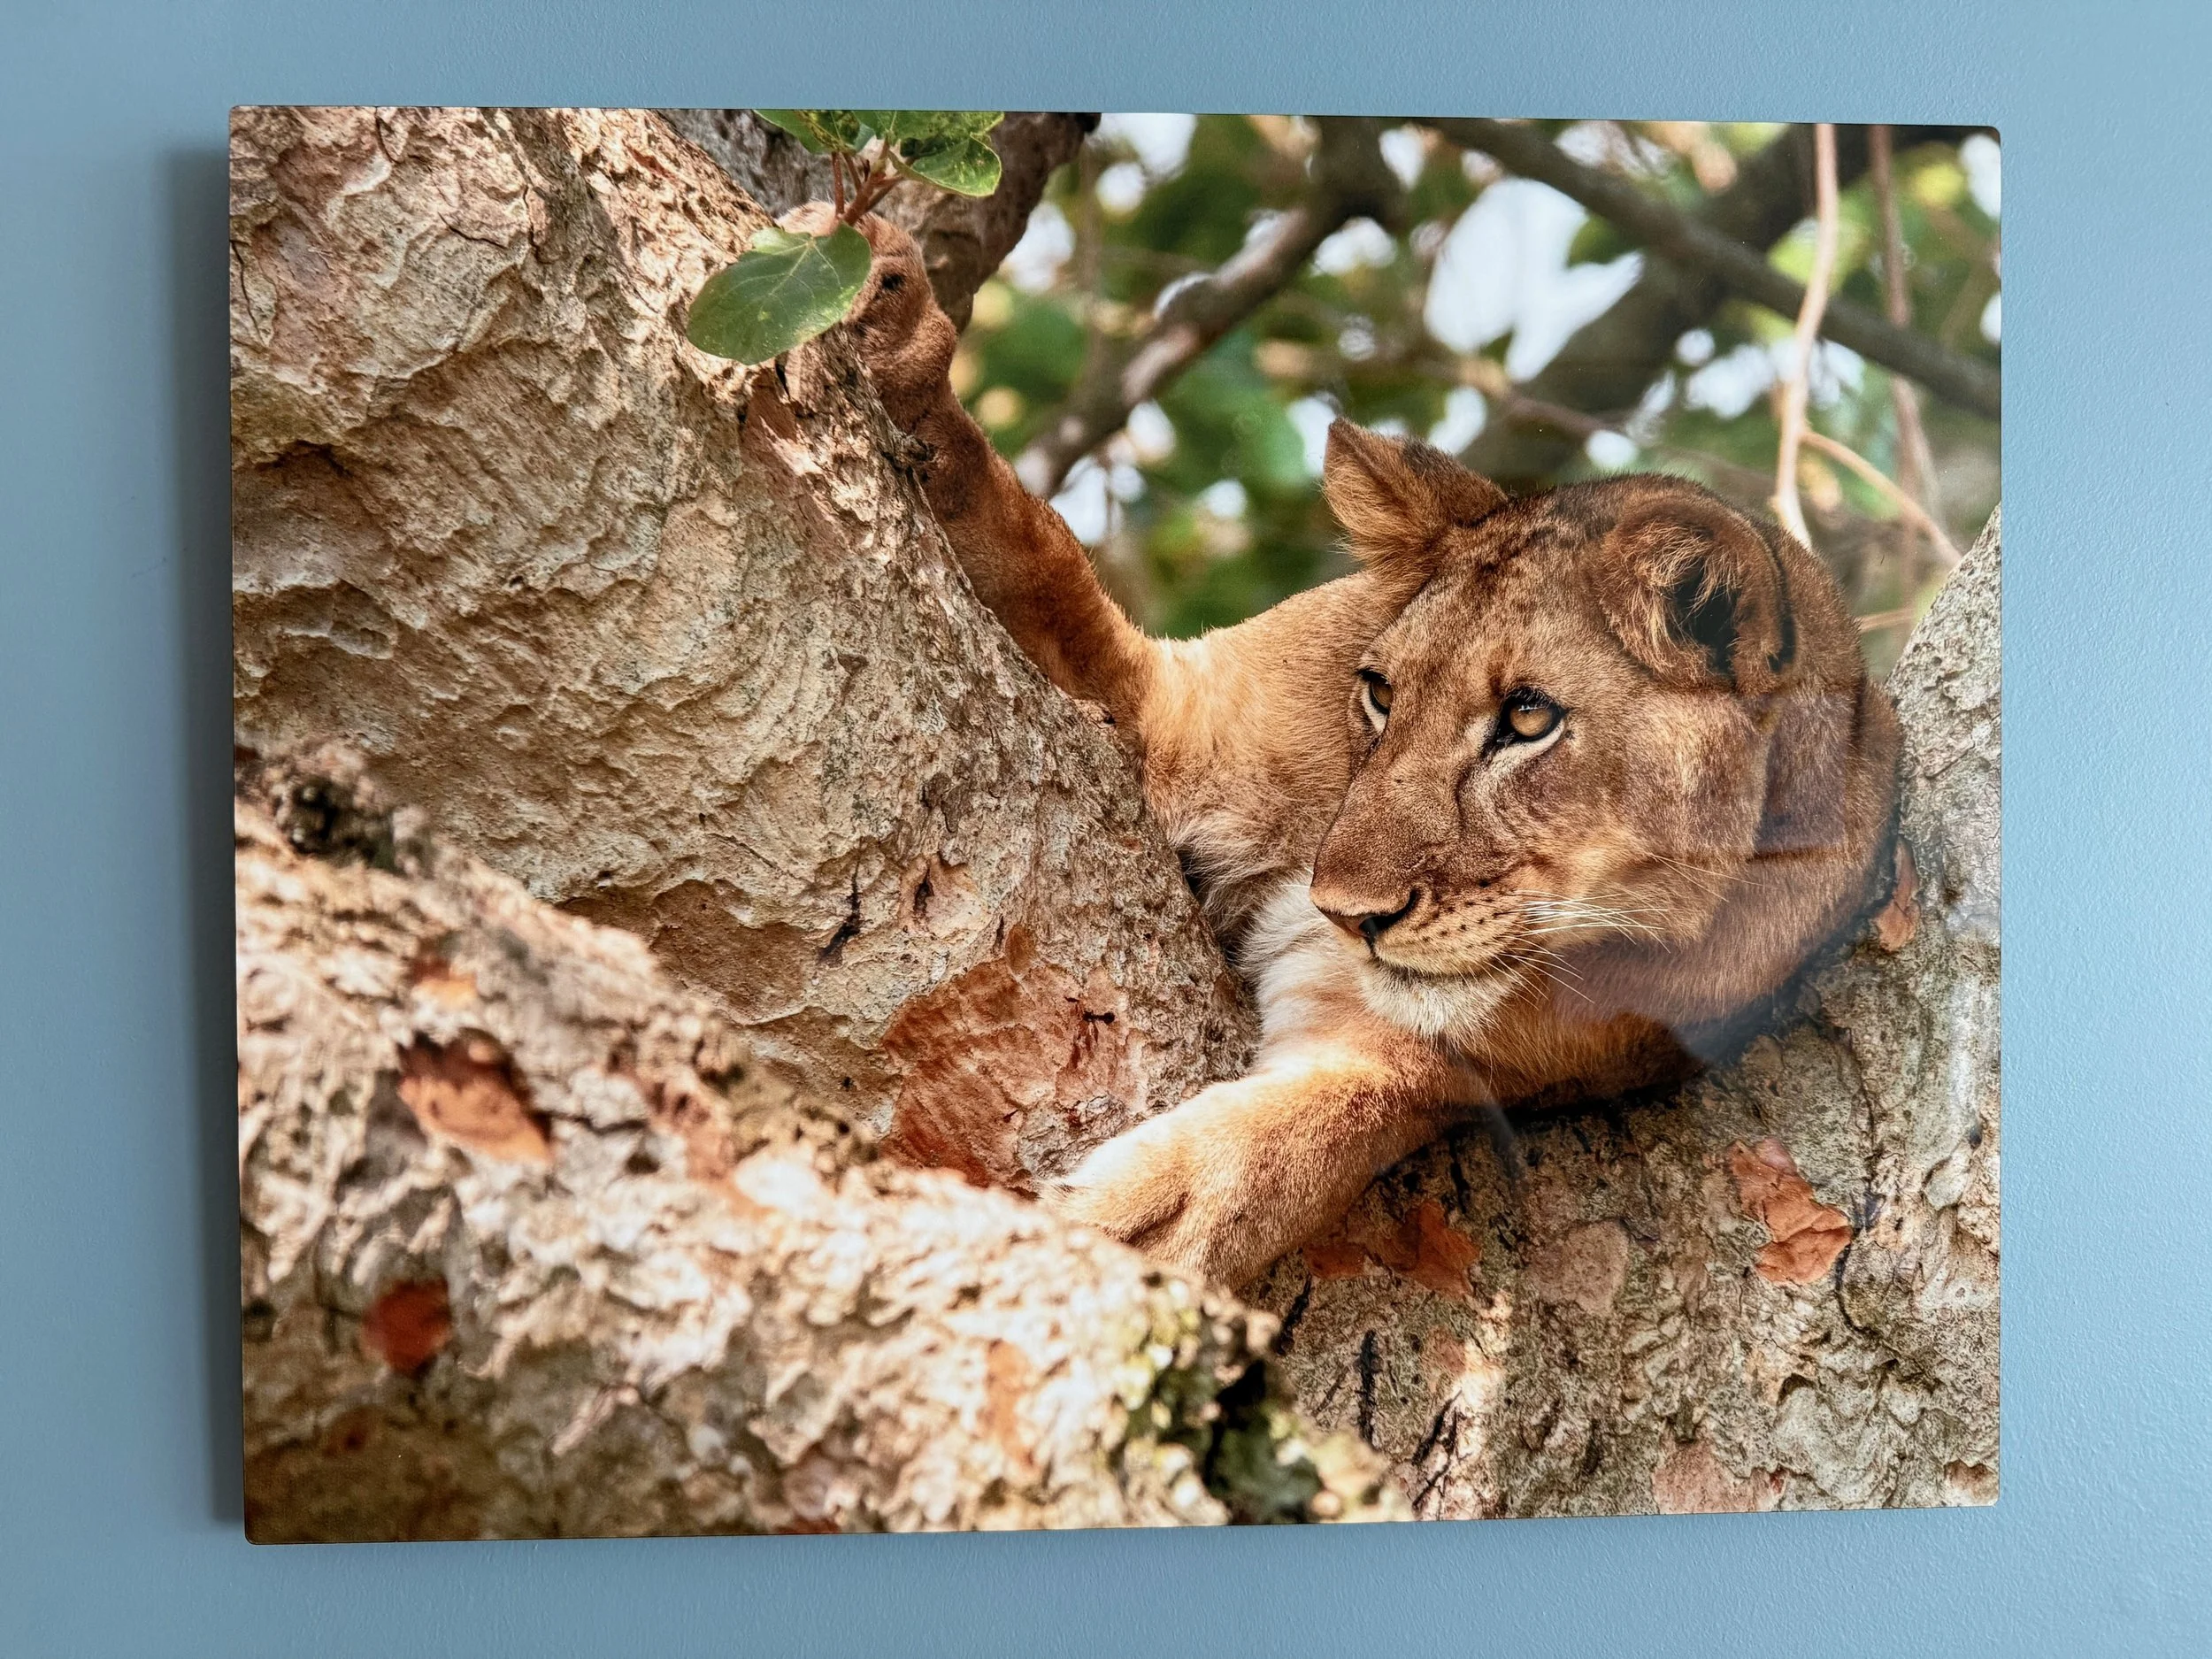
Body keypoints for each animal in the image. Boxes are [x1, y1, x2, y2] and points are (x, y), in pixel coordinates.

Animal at [841, 213, 1901, 1286]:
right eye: (1380, 694)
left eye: (1528, 720)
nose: (1349, 915)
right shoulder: (1178, 709)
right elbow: (1034, 558)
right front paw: (891, 330)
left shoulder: (1450, 1053)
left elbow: (1327, 1120)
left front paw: (1153, 1223)